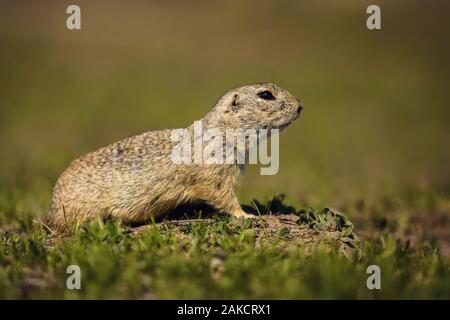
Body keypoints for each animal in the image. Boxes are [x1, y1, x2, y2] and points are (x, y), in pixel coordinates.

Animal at [41, 84, 302, 234]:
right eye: (266, 95)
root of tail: (52, 209)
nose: (300, 106)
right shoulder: (214, 171)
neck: (222, 130)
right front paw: (246, 215)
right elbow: (222, 194)